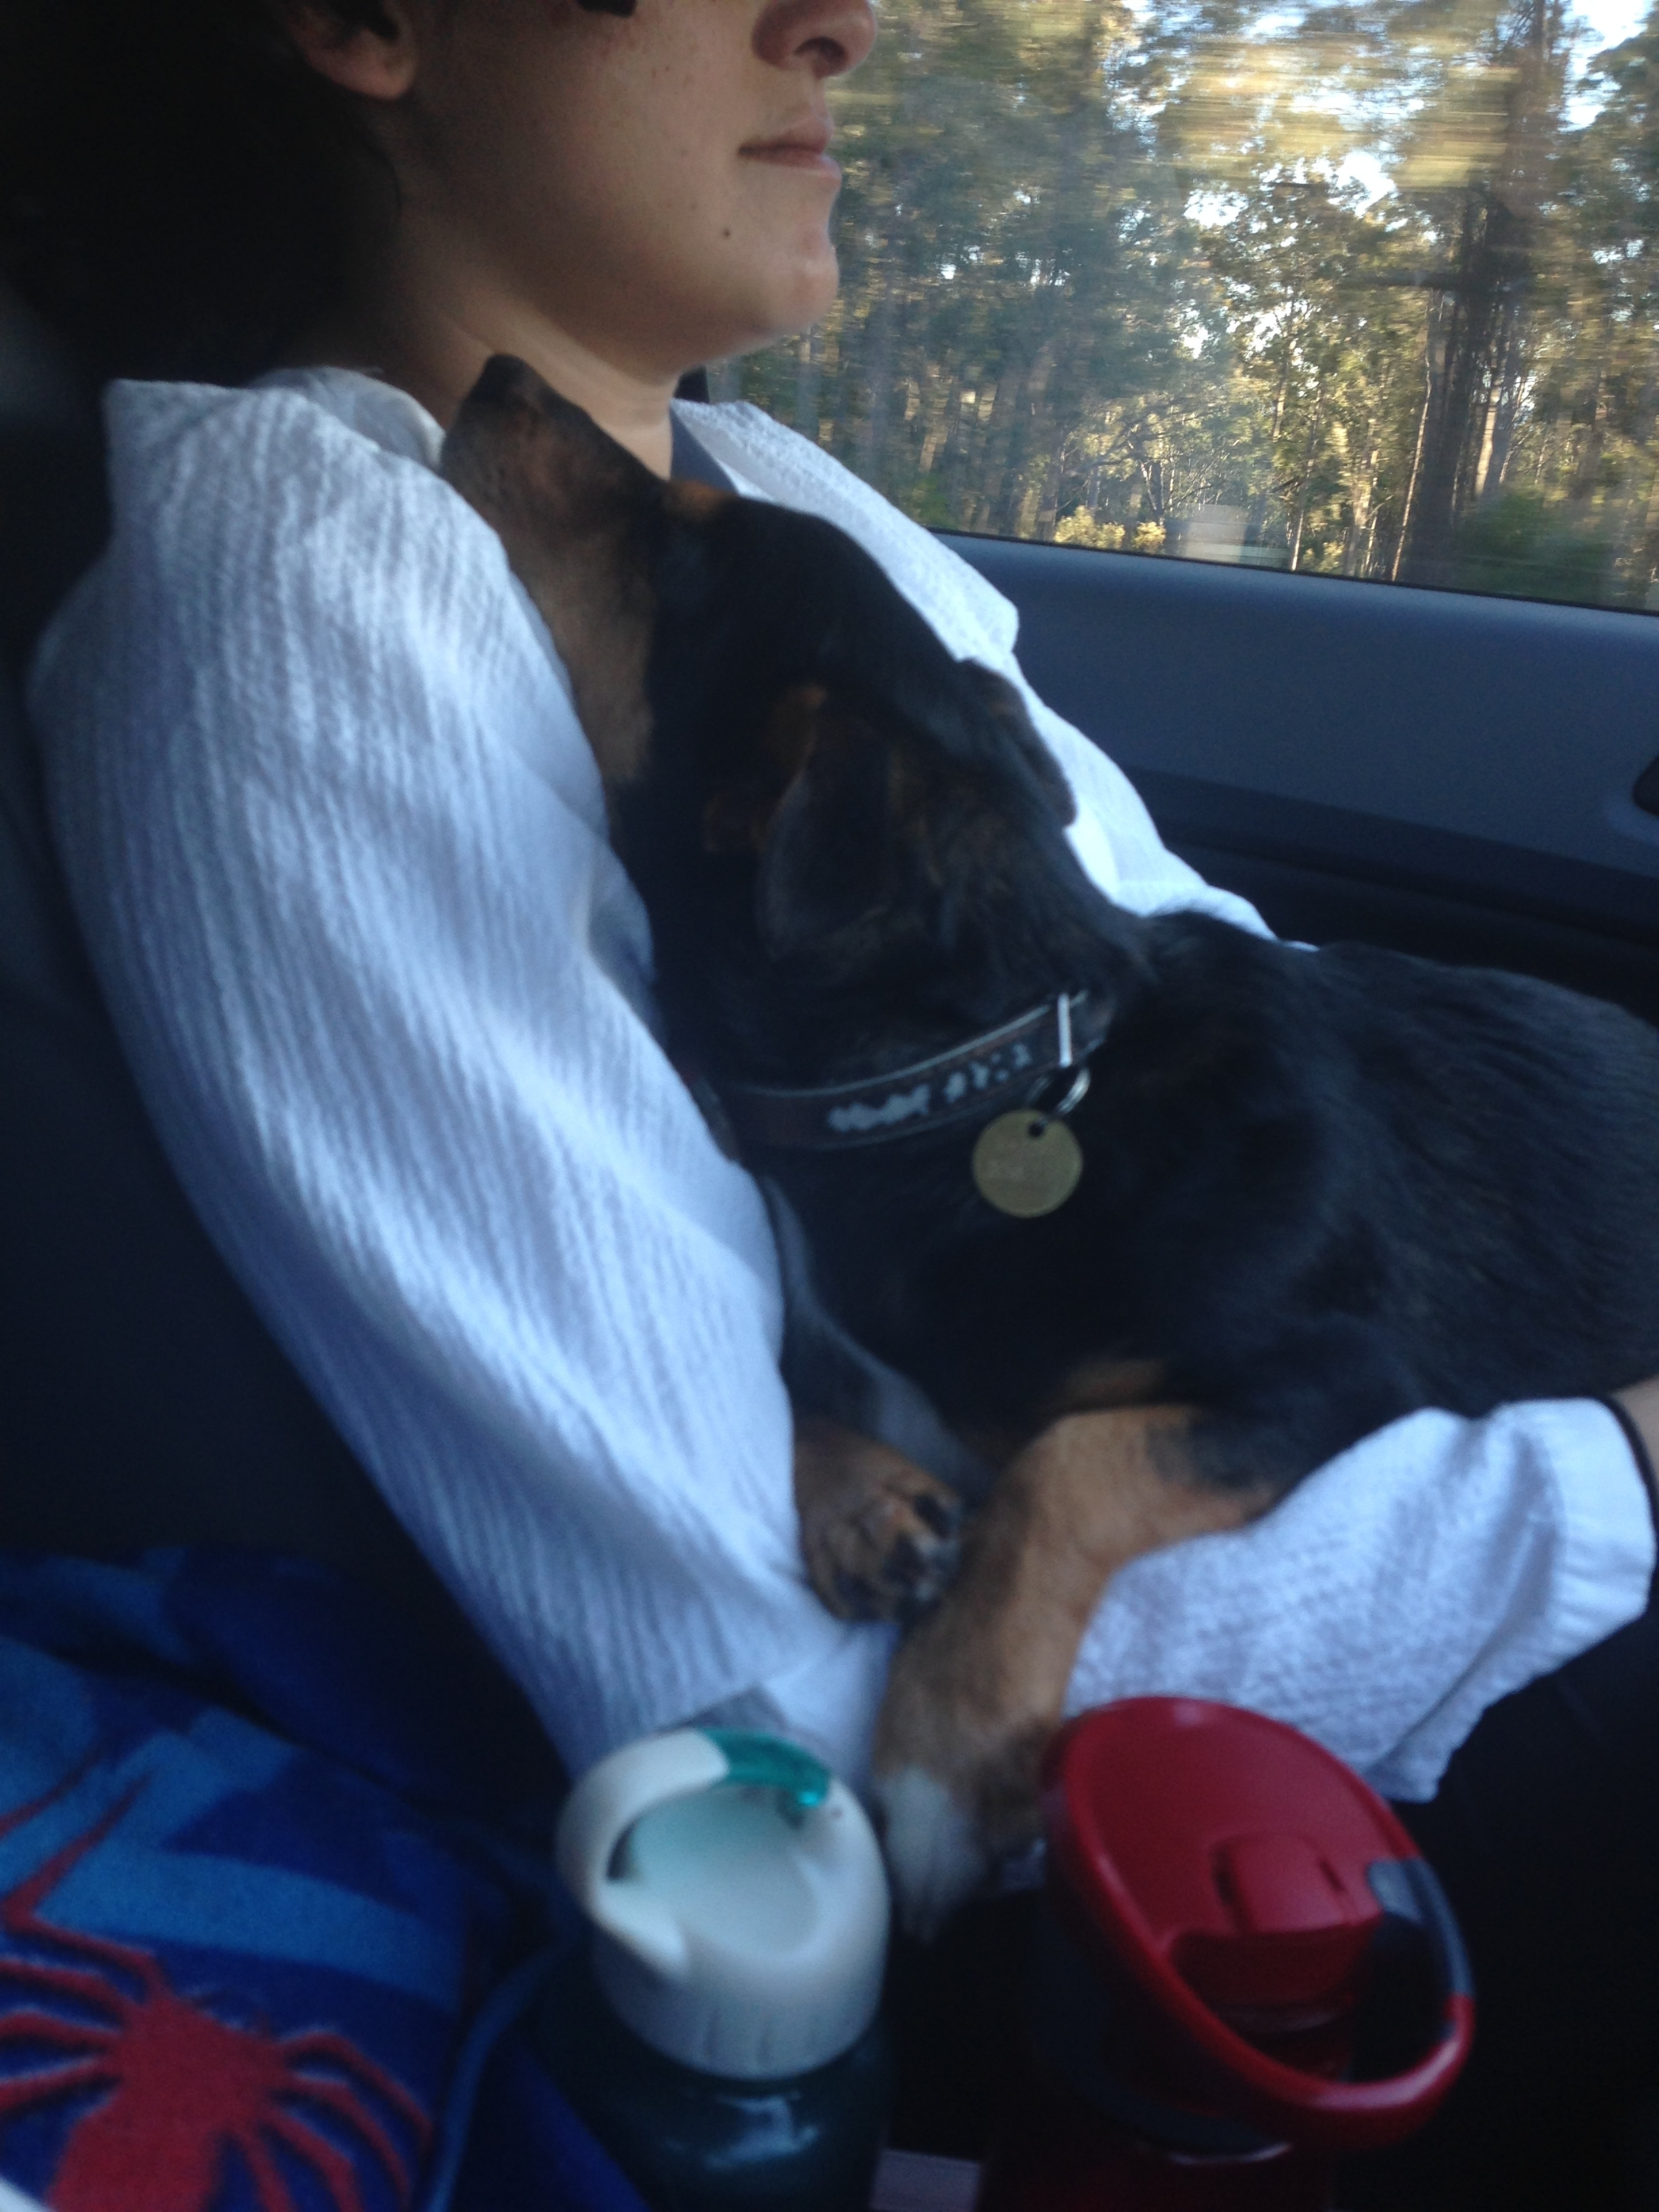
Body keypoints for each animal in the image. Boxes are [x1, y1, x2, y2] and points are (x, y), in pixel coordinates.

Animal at [441, 356, 1659, 1930]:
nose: (499, 373)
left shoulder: (1335, 1372)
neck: (978, 1076)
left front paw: (944, 1761)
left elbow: (1063, 1466)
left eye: (678, 542)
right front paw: (863, 1501)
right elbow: (797, 1359)